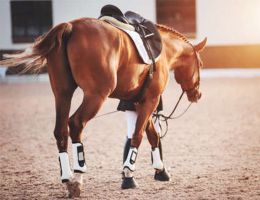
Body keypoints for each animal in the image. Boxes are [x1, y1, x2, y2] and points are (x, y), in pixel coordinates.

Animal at [0, 17, 207, 197]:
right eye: (200, 64)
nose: (197, 95)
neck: (164, 51)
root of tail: (71, 26)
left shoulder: (139, 102)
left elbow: (151, 135)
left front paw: (160, 170)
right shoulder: (151, 100)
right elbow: (139, 136)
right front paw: (129, 174)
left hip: (62, 93)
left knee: (60, 131)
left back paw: (67, 179)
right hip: (96, 96)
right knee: (76, 123)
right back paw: (78, 178)